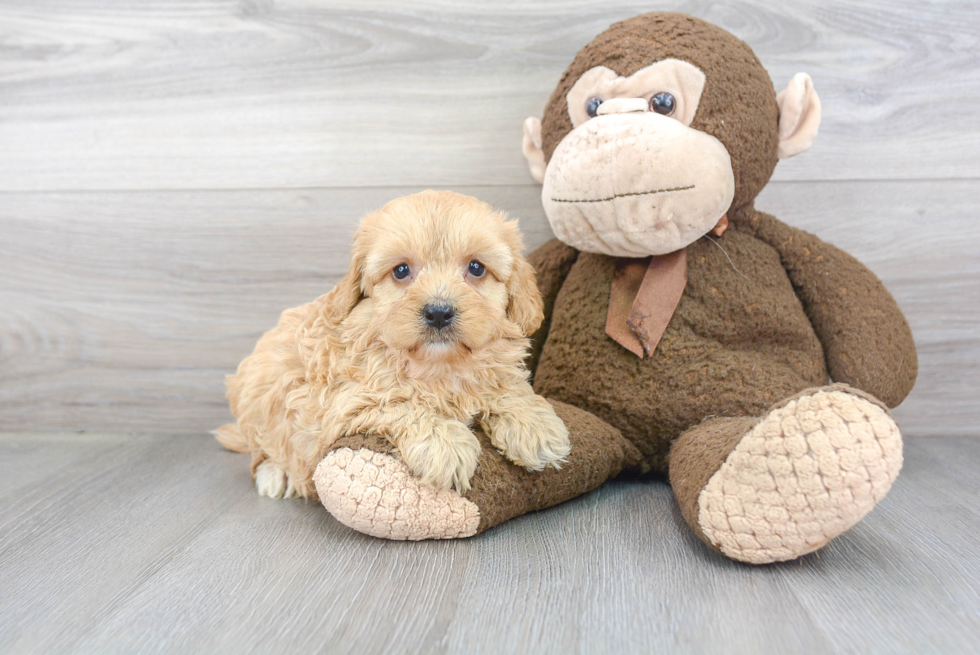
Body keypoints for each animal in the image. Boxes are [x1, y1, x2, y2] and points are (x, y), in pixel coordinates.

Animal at [214, 192, 568, 500]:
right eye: (401, 271)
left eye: (476, 268)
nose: (439, 312)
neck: (439, 365)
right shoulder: (339, 402)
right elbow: (400, 405)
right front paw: (445, 444)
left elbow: (507, 387)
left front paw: (535, 427)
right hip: (260, 393)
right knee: (264, 451)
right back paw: (277, 474)